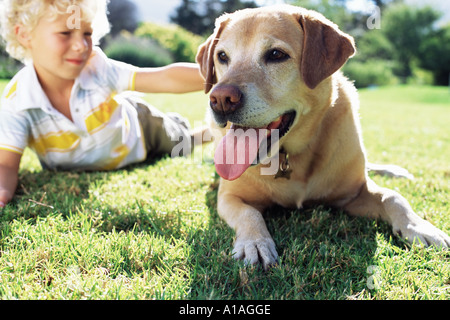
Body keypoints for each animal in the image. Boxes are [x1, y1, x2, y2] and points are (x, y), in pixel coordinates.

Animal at [195, 5, 448, 270]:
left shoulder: (355, 193)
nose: (221, 99)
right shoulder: (229, 197)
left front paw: (420, 227)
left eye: (276, 54)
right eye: (222, 56)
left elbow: (393, 197)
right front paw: (254, 243)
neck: (290, 155)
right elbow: (249, 213)